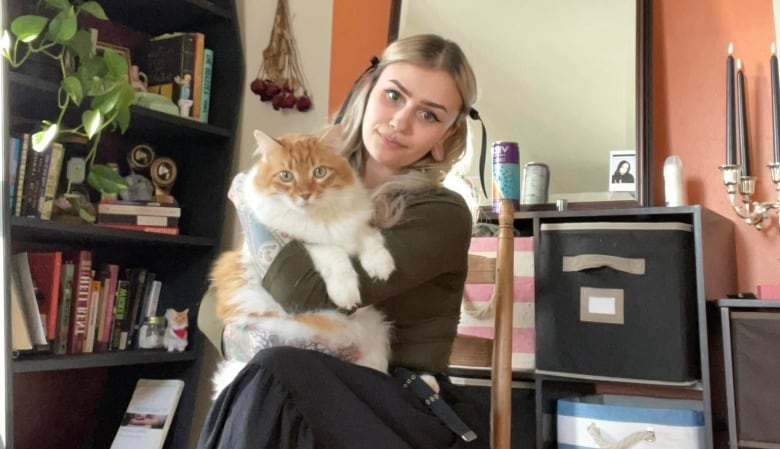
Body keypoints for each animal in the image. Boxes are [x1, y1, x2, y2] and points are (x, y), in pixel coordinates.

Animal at [210, 125, 394, 396]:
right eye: (286, 176)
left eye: (319, 172)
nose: (305, 194)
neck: (320, 218)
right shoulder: (308, 242)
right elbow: (335, 257)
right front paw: (346, 293)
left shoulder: (355, 227)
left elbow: (371, 241)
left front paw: (381, 266)